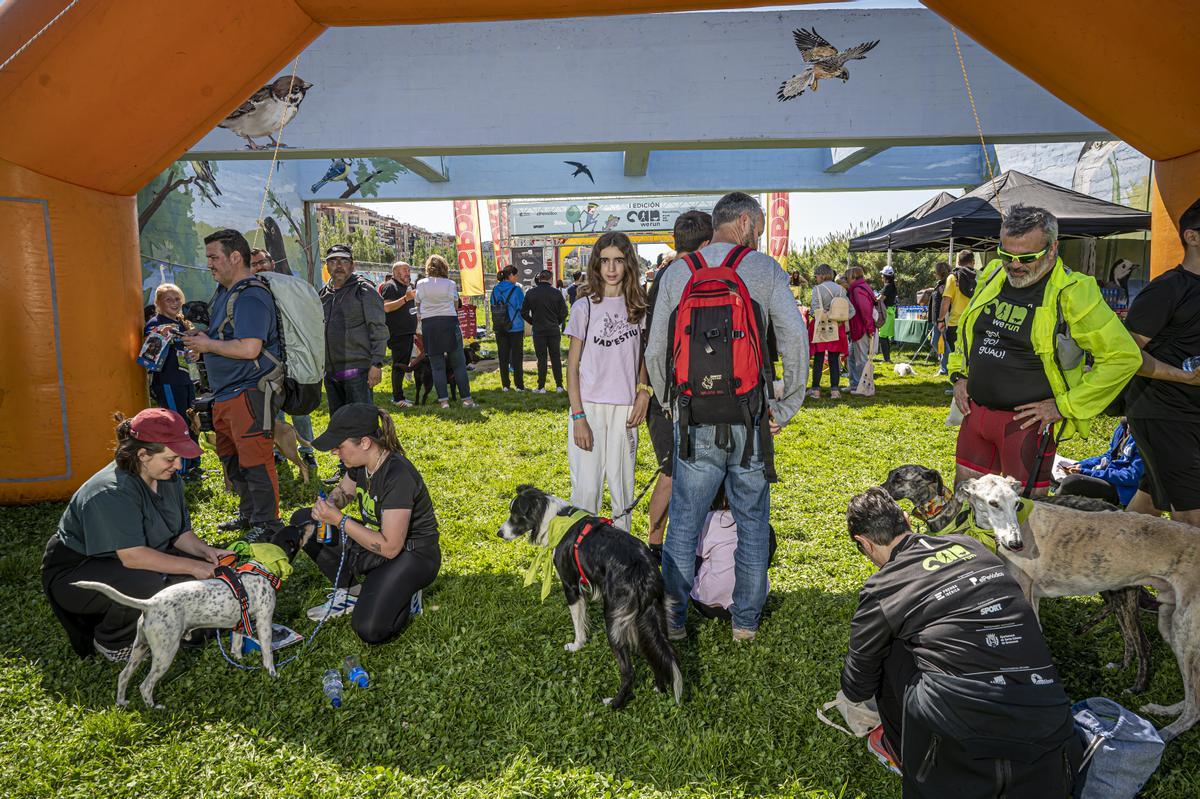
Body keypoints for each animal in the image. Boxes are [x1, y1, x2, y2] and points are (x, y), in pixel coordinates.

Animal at [74, 568, 278, 705]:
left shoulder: (239, 626)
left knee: (123, 676)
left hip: (139, 649)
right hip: (165, 654)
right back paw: (154, 708)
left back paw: (121, 702)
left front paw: (239, 662)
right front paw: (272, 674)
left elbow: (236, 647)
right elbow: (267, 652)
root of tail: (150, 603)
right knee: (145, 685)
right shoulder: (264, 623)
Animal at [499, 482, 686, 705]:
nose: (499, 533)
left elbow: (578, 623)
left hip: (615, 619)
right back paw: (658, 688)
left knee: (629, 670)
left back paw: (614, 703)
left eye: (515, 515)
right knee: (658, 652)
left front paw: (577, 645)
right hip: (652, 616)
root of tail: (643, 571)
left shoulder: (571, 586)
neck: (553, 518)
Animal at [883, 463, 1152, 695]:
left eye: (898, 479)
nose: (878, 489)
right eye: (889, 477)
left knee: (1142, 640)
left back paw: (1138, 685)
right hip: (1110, 586)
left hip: (1120, 591)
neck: (949, 511)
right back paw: (1121, 666)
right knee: (1126, 630)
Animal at [960, 472, 1200, 739]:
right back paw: (1165, 709)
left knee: (1194, 708)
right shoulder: (1033, 600)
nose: (1016, 544)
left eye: (1017, 504)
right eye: (993, 503)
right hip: (1170, 623)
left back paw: (1165, 731)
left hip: (1182, 631)